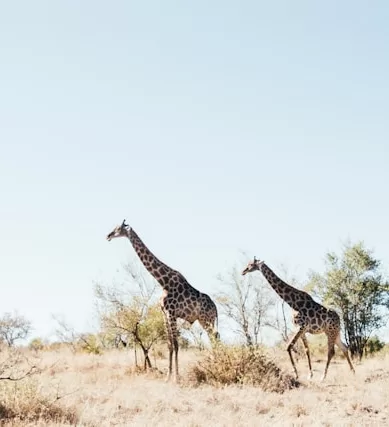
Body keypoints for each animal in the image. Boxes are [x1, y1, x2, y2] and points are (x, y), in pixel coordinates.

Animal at [105, 221, 218, 382]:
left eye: (117, 229)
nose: (108, 235)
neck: (163, 281)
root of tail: (216, 308)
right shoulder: (164, 313)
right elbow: (169, 344)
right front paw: (168, 377)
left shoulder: (172, 313)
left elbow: (176, 344)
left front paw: (176, 377)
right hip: (206, 320)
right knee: (215, 338)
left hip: (206, 319)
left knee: (214, 338)